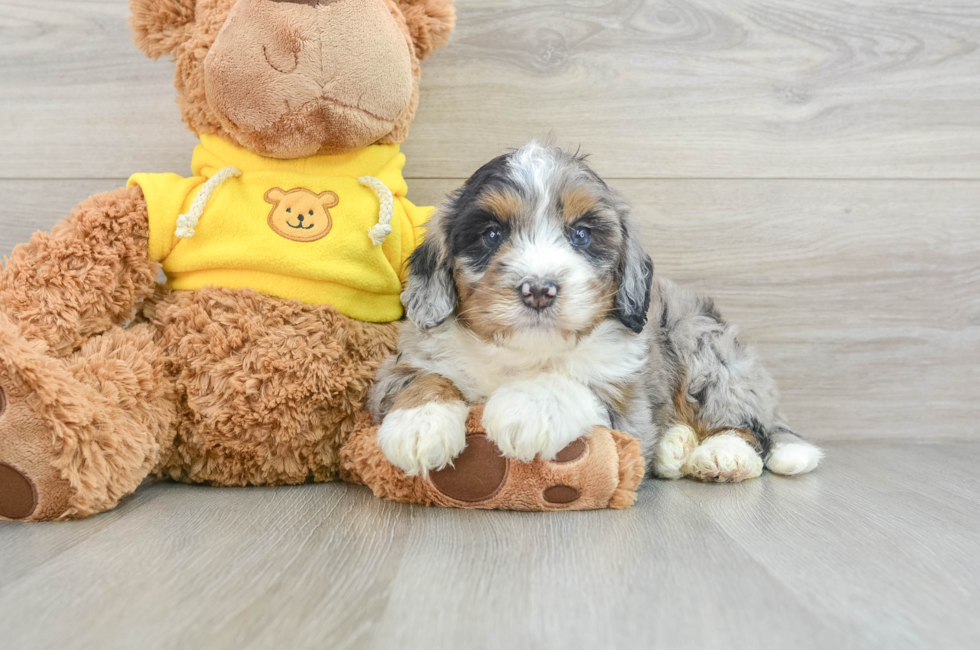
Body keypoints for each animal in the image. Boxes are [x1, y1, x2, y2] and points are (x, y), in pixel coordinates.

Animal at [368, 142, 820, 480]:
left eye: (581, 235)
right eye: (492, 234)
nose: (539, 290)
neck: (525, 354)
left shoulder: (628, 408)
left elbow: (575, 384)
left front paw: (526, 408)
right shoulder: (400, 365)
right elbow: (420, 378)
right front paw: (419, 425)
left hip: (706, 351)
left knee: (750, 424)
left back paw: (724, 454)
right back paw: (674, 447)